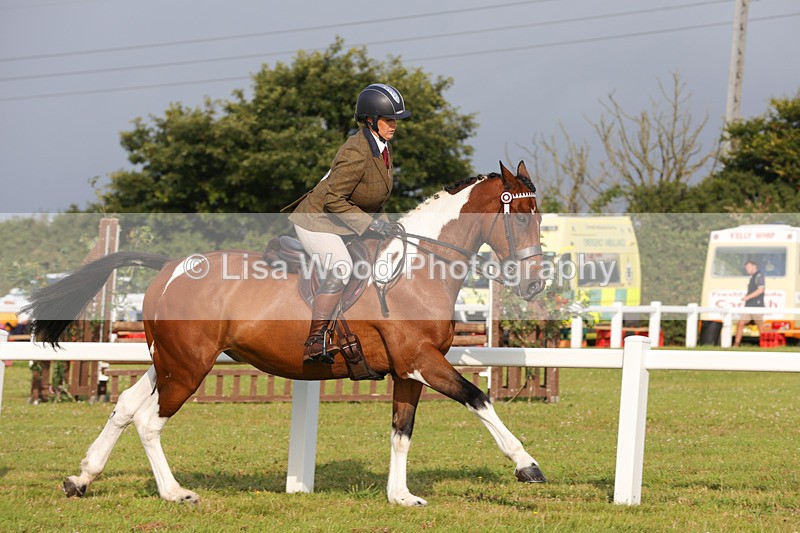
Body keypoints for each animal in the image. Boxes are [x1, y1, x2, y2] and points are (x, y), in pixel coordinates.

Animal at [24, 161, 547, 506]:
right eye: (521, 217)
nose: (534, 284)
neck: (419, 268)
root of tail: (172, 266)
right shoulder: (421, 360)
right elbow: (479, 399)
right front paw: (526, 465)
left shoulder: (409, 370)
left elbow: (402, 431)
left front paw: (400, 496)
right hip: (189, 367)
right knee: (150, 421)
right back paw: (174, 492)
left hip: (169, 361)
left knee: (126, 405)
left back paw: (82, 478)